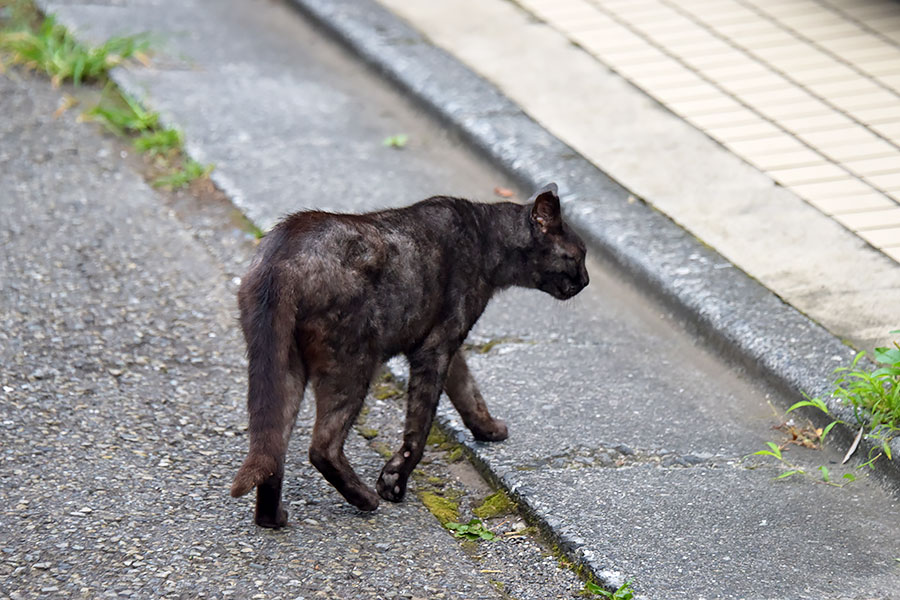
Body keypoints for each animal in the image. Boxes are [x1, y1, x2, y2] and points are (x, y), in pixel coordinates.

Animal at [229, 183, 588, 524]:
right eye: (578, 255)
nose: (586, 281)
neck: (487, 240)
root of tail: (281, 259)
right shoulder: (436, 347)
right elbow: (420, 427)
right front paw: (393, 482)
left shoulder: (448, 343)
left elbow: (468, 389)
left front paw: (487, 429)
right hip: (353, 365)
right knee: (322, 447)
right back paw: (365, 500)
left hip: (285, 367)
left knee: (272, 447)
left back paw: (272, 519)